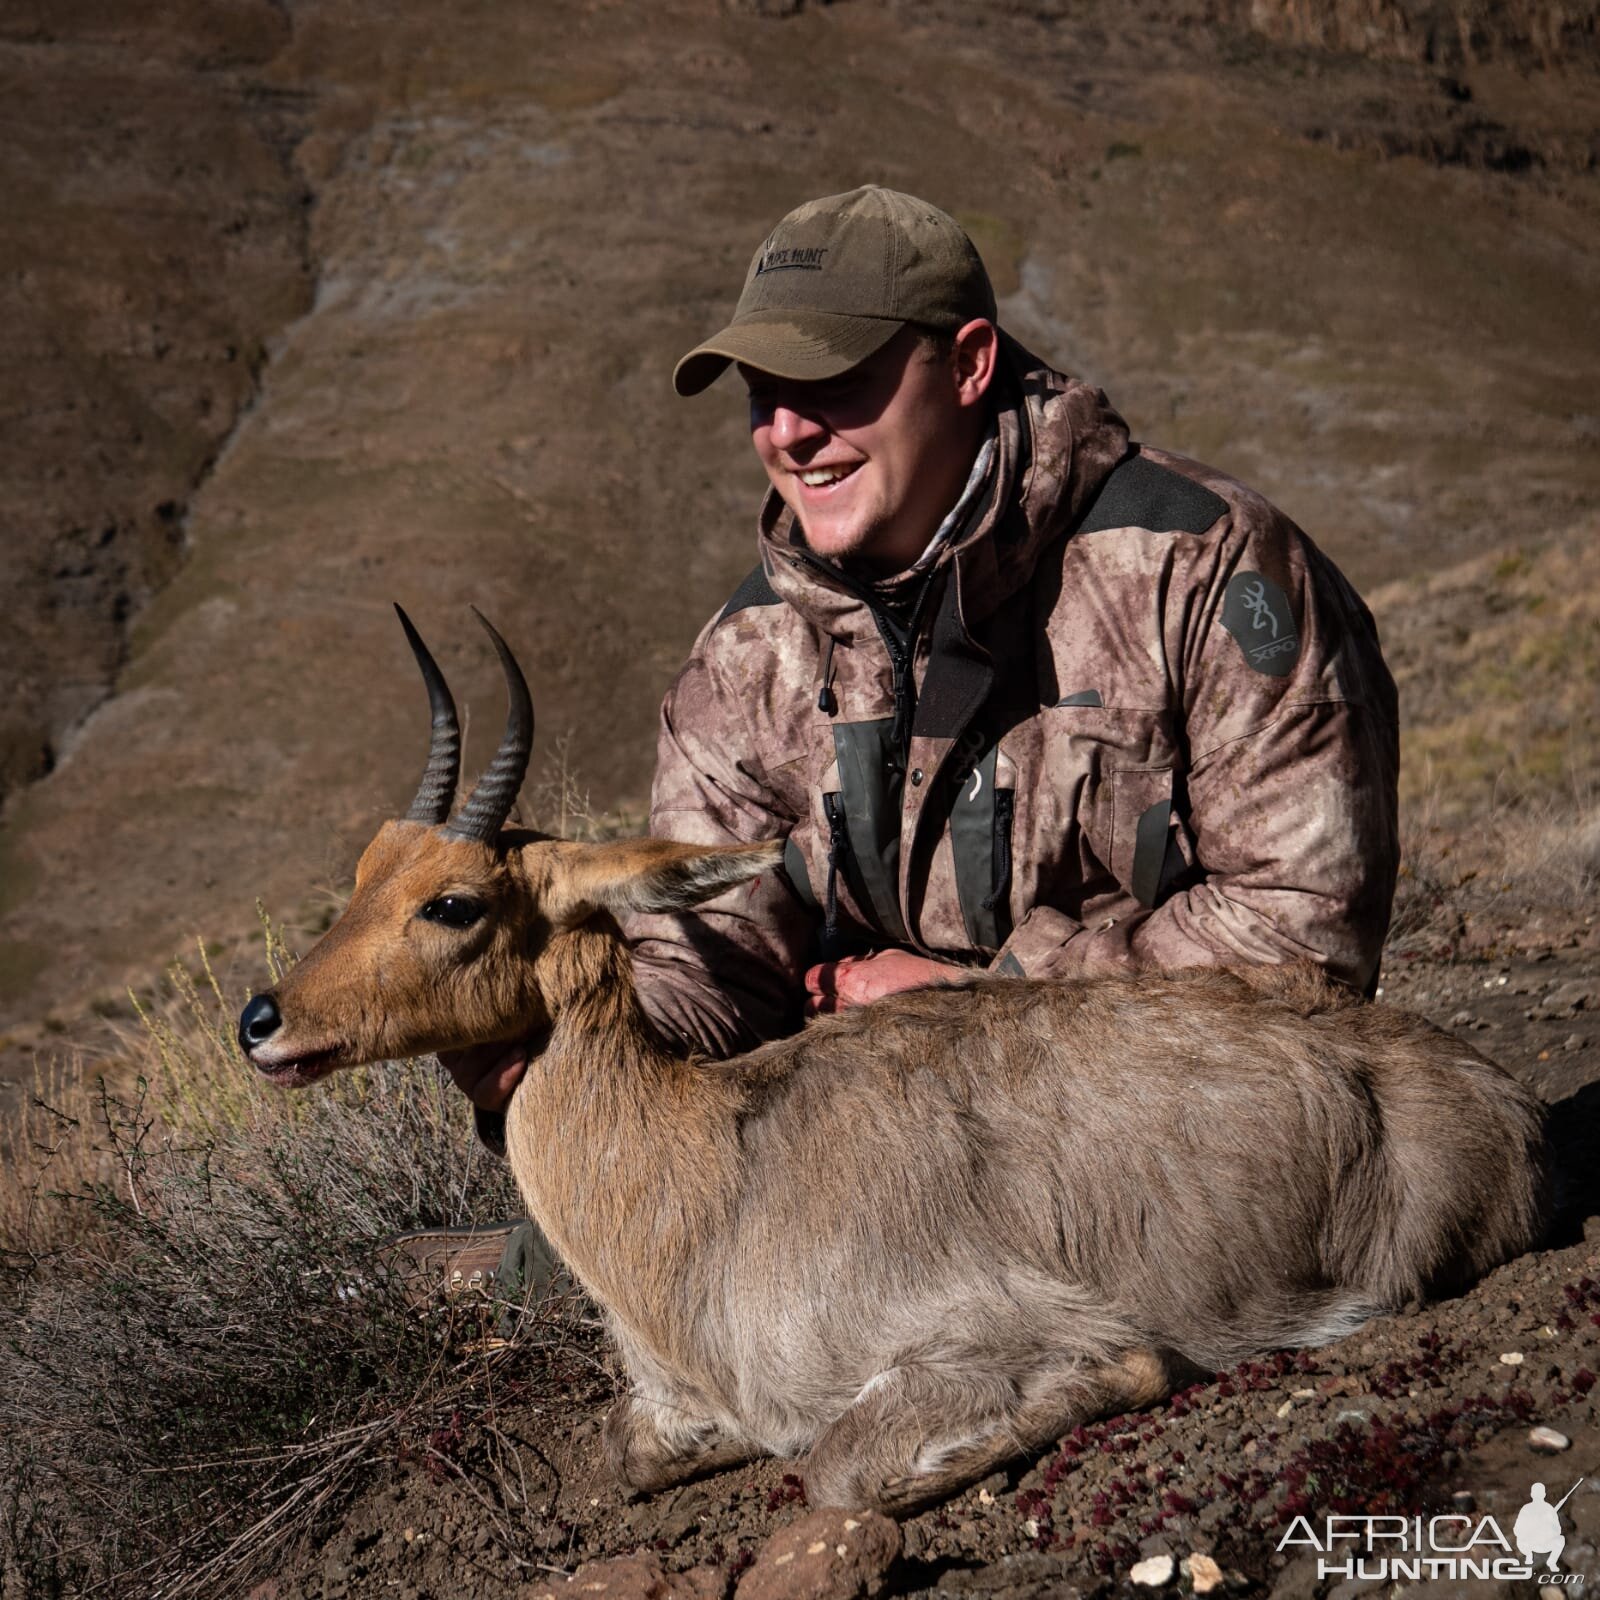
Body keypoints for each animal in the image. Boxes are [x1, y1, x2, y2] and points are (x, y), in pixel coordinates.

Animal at [236, 601, 1548, 1510]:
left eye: (453, 903)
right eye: (364, 868)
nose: (260, 1020)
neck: (706, 1171)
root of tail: (1496, 1094)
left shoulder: (982, 1339)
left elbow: (846, 1465)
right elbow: (627, 1452)